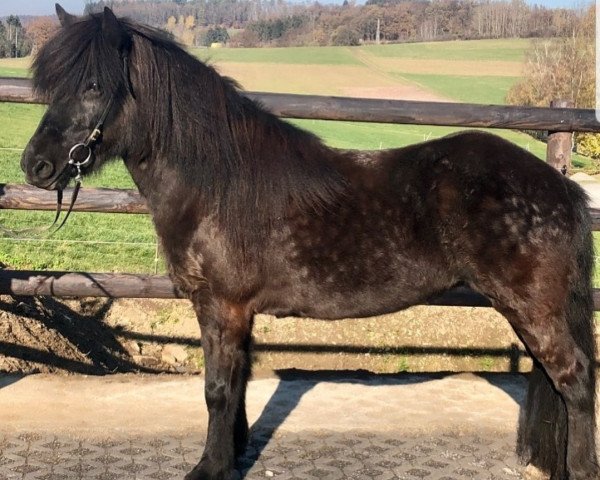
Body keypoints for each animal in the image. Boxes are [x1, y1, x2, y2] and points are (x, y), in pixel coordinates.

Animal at [21, 4, 596, 480]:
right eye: (52, 86)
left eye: (94, 86)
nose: (36, 166)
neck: (217, 183)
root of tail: (560, 186)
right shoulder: (239, 314)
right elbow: (238, 388)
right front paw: (232, 457)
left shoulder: (220, 307)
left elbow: (216, 390)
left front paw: (208, 469)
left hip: (532, 309)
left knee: (574, 377)